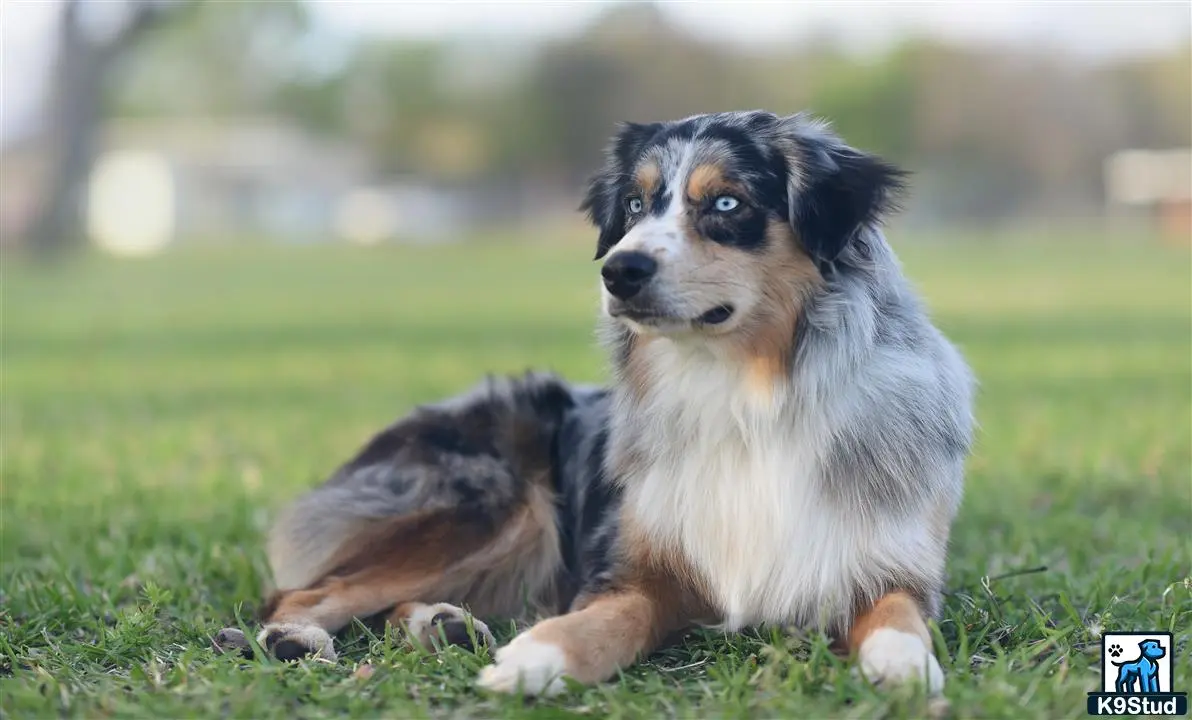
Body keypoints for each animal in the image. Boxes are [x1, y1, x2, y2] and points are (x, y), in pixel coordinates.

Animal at [219, 112, 972, 696]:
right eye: (635, 207)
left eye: (726, 204)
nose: (619, 271)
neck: (743, 393)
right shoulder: (633, 571)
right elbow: (606, 619)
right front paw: (535, 658)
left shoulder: (889, 563)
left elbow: (900, 616)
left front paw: (907, 668)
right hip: (490, 500)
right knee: (301, 591)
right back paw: (294, 635)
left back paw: (443, 625)